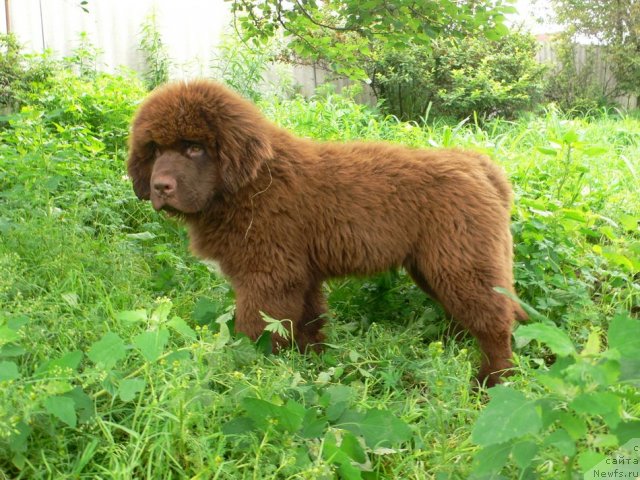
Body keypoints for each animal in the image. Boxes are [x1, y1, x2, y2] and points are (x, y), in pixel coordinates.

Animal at [127, 79, 528, 386]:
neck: (249, 185)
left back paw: (492, 380)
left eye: (194, 148)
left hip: (460, 261)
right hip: (438, 265)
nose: (160, 187)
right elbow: (308, 323)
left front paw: (250, 370)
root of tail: (480, 165)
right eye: (155, 149)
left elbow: (259, 329)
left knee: (495, 321)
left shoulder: (269, 274)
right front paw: (311, 365)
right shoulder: (300, 275)